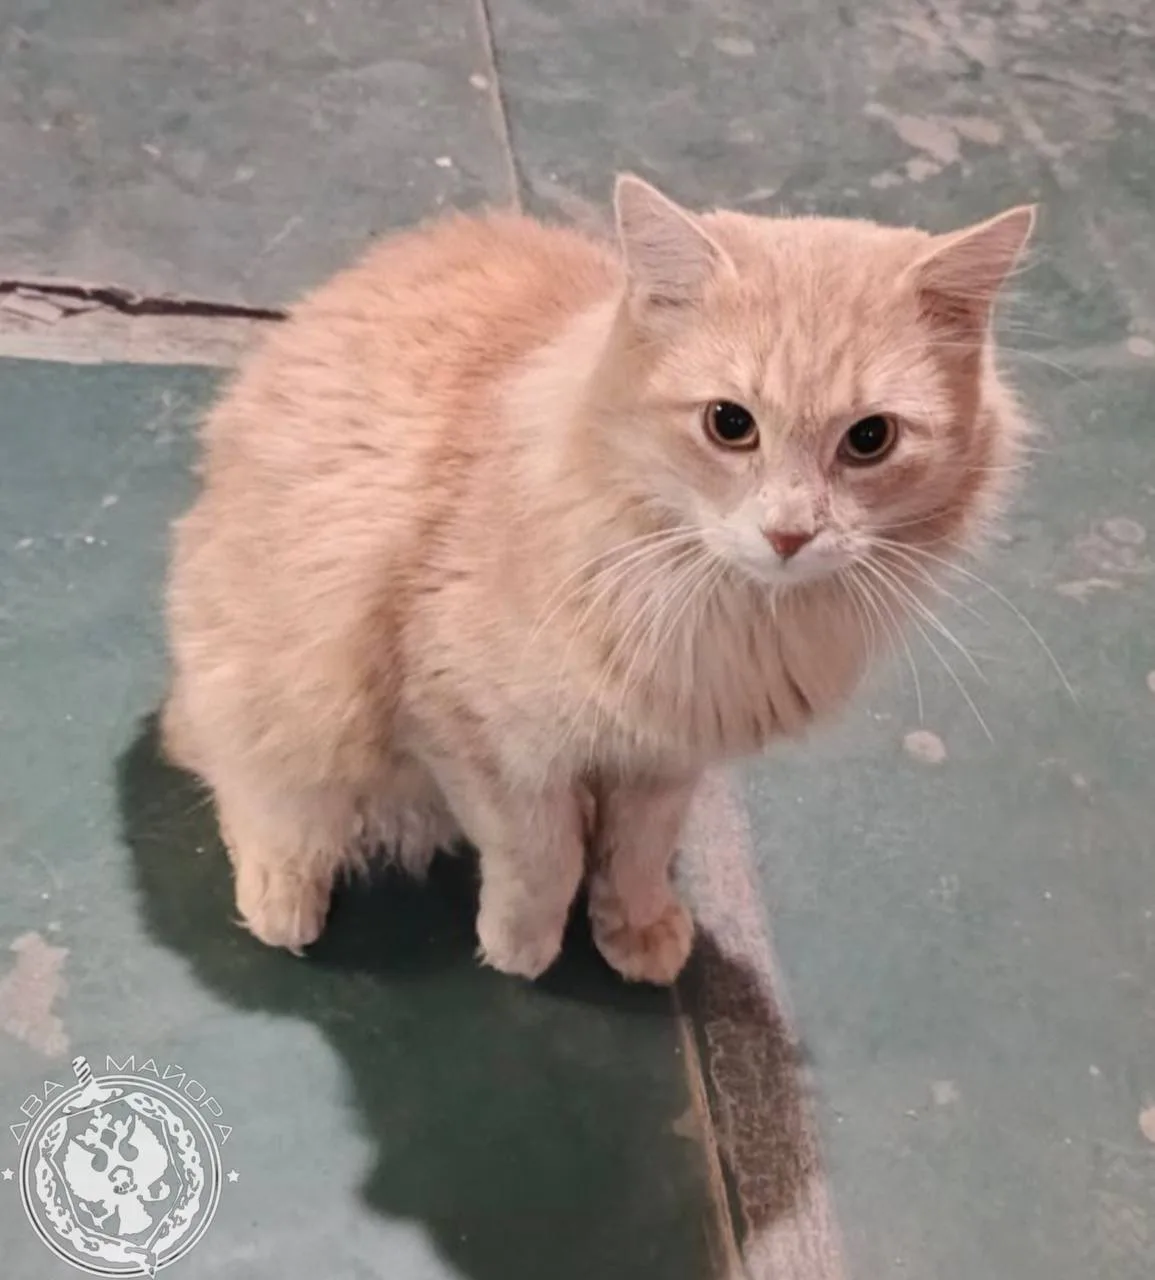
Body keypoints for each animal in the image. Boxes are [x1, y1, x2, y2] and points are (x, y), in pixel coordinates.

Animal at [162, 175, 1033, 985]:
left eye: (869, 439)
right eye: (730, 424)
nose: (790, 533)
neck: (728, 613)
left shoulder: (666, 753)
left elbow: (636, 852)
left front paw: (635, 927)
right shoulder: (478, 735)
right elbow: (542, 857)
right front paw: (520, 946)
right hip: (279, 700)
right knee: (244, 784)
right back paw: (282, 892)